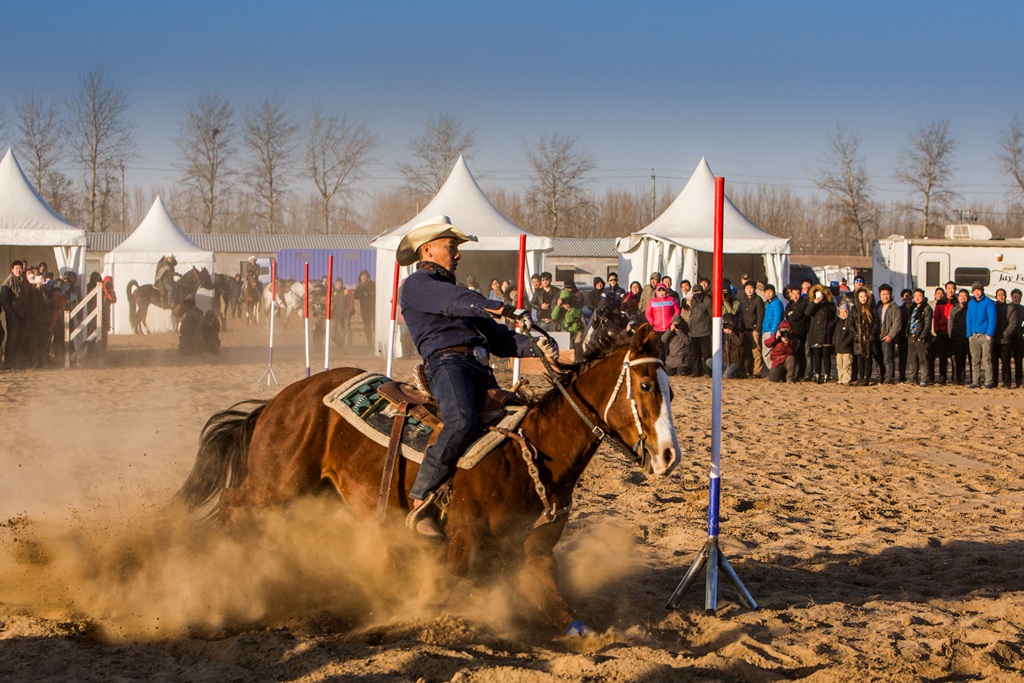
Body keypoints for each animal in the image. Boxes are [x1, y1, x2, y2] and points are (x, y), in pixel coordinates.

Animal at [178, 325, 679, 634]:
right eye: (646, 386)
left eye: (671, 388)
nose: (669, 456)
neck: (531, 453)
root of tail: (283, 398)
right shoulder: (461, 542)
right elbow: (435, 594)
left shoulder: (535, 554)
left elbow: (564, 613)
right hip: (275, 484)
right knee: (231, 503)